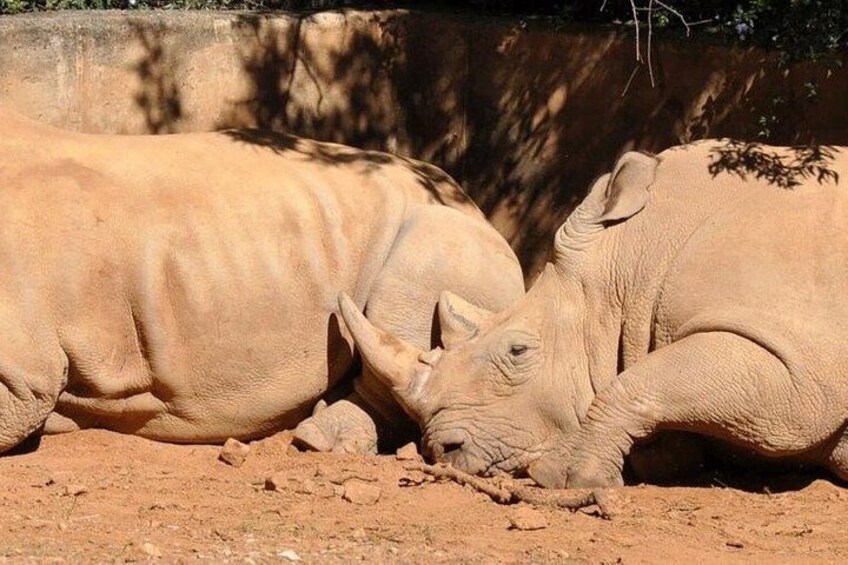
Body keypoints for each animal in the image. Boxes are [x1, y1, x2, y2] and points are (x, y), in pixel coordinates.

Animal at [340, 140, 848, 488]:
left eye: (518, 351)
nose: (444, 450)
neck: (635, 260)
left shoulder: (800, 365)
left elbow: (639, 384)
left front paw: (564, 475)